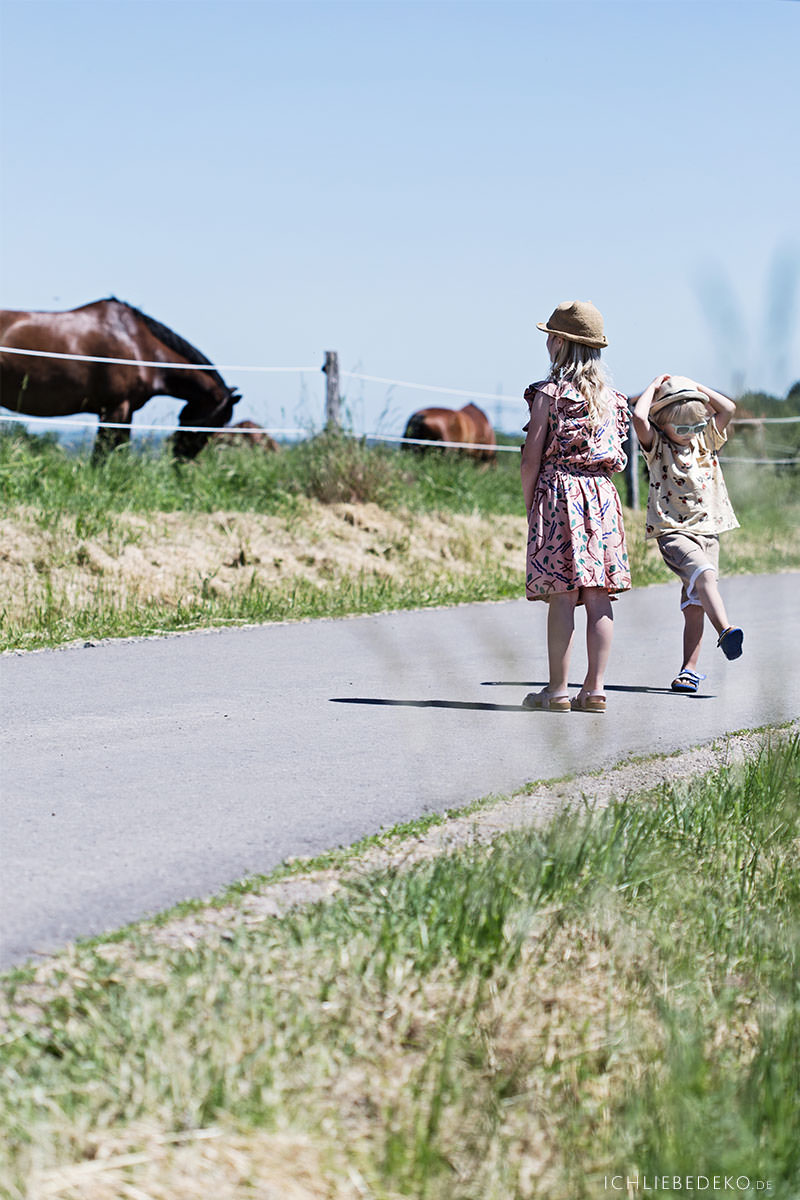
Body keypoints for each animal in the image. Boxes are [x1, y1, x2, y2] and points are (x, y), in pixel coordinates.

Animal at [0, 296, 241, 458]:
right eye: (218, 422)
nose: (180, 456)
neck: (140, 346)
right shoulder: (114, 409)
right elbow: (101, 455)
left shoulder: (126, 412)